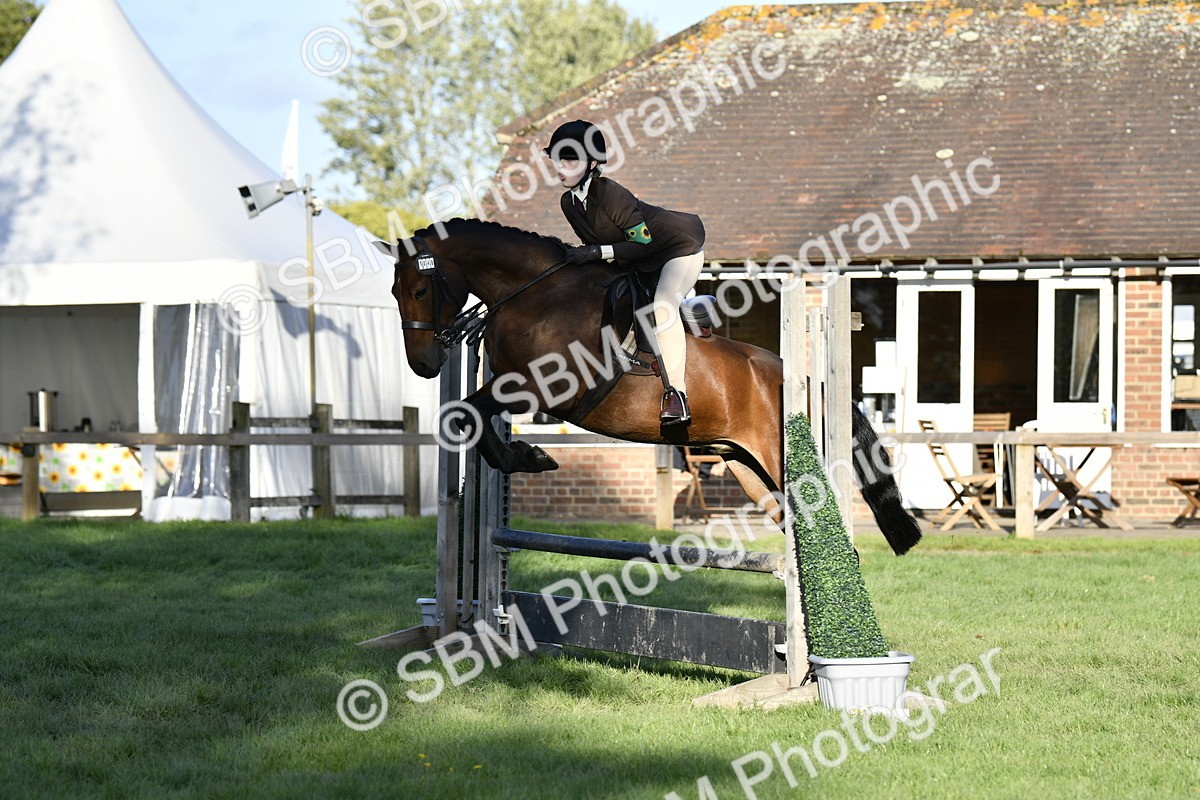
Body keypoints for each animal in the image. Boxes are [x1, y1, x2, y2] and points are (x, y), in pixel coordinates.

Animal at [373, 218, 921, 555]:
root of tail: (805, 380)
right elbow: (470, 416)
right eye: (394, 291)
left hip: (779, 458)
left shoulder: (545, 389)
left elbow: (465, 412)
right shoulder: (511, 385)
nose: (423, 365)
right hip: (745, 465)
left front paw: (530, 457)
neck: (534, 294)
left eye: (419, 288)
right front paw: (525, 456)